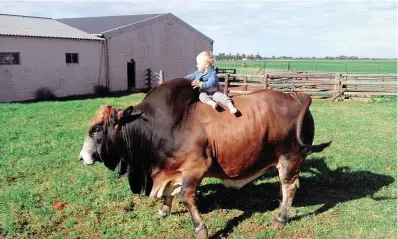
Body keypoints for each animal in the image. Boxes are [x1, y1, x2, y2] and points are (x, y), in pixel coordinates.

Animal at [77, 78, 330, 237]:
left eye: (97, 129)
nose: (82, 157)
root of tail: (297, 97)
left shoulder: (195, 168)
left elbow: (187, 198)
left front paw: (201, 230)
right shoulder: (169, 170)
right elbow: (168, 194)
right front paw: (163, 211)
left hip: (290, 157)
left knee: (290, 186)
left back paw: (280, 217)